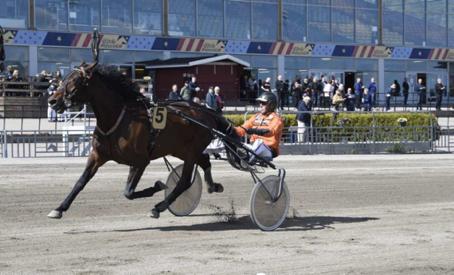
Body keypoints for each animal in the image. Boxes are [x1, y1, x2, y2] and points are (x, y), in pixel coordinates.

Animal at [47, 62, 238, 220]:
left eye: (75, 80)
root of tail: (207, 112)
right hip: (180, 149)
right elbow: (80, 182)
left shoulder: (140, 161)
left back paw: (159, 207)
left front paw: (158, 186)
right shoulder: (97, 155)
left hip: (191, 150)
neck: (118, 118)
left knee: (184, 181)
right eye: (64, 78)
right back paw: (213, 186)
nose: (52, 100)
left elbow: (129, 192)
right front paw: (59, 209)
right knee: (205, 161)